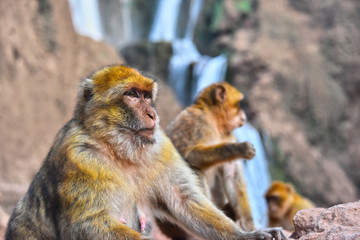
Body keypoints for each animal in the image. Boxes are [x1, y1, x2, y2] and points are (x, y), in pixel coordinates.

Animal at [4, 65, 286, 240]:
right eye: (132, 94)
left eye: (147, 96)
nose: (152, 114)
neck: (119, 149)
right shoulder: (78, 157)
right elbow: (88, 223)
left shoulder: (162, 148)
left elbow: (183, 201)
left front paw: (247, 234)